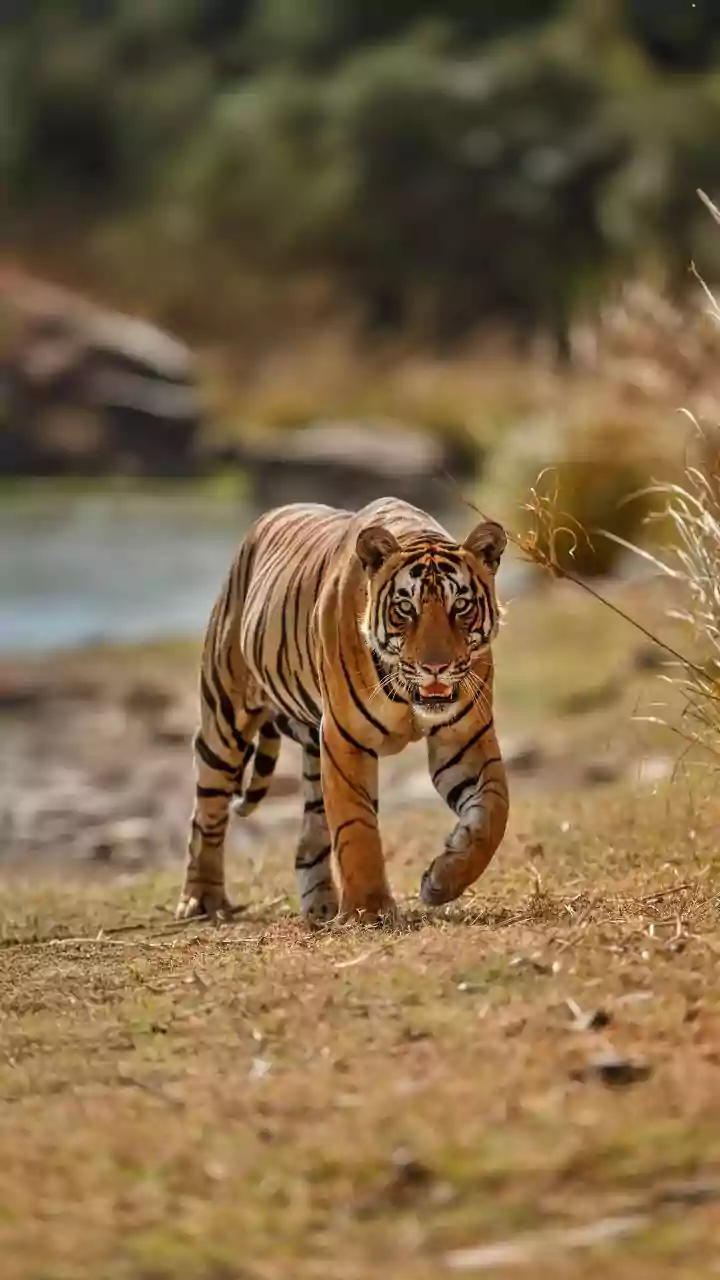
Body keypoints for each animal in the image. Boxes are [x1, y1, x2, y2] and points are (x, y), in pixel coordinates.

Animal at [177, 497, 509, 926]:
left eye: (461, 606)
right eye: (406, 609)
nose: (435, 667)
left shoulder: (464, 738)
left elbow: (495, 810)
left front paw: (442, 880)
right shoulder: (343, 739)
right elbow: (356, 827)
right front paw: (370, 909)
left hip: (310, 752)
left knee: (309, 838)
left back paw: (321, 906)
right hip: (225, 718)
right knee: (207, 811)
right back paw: (201, 900)